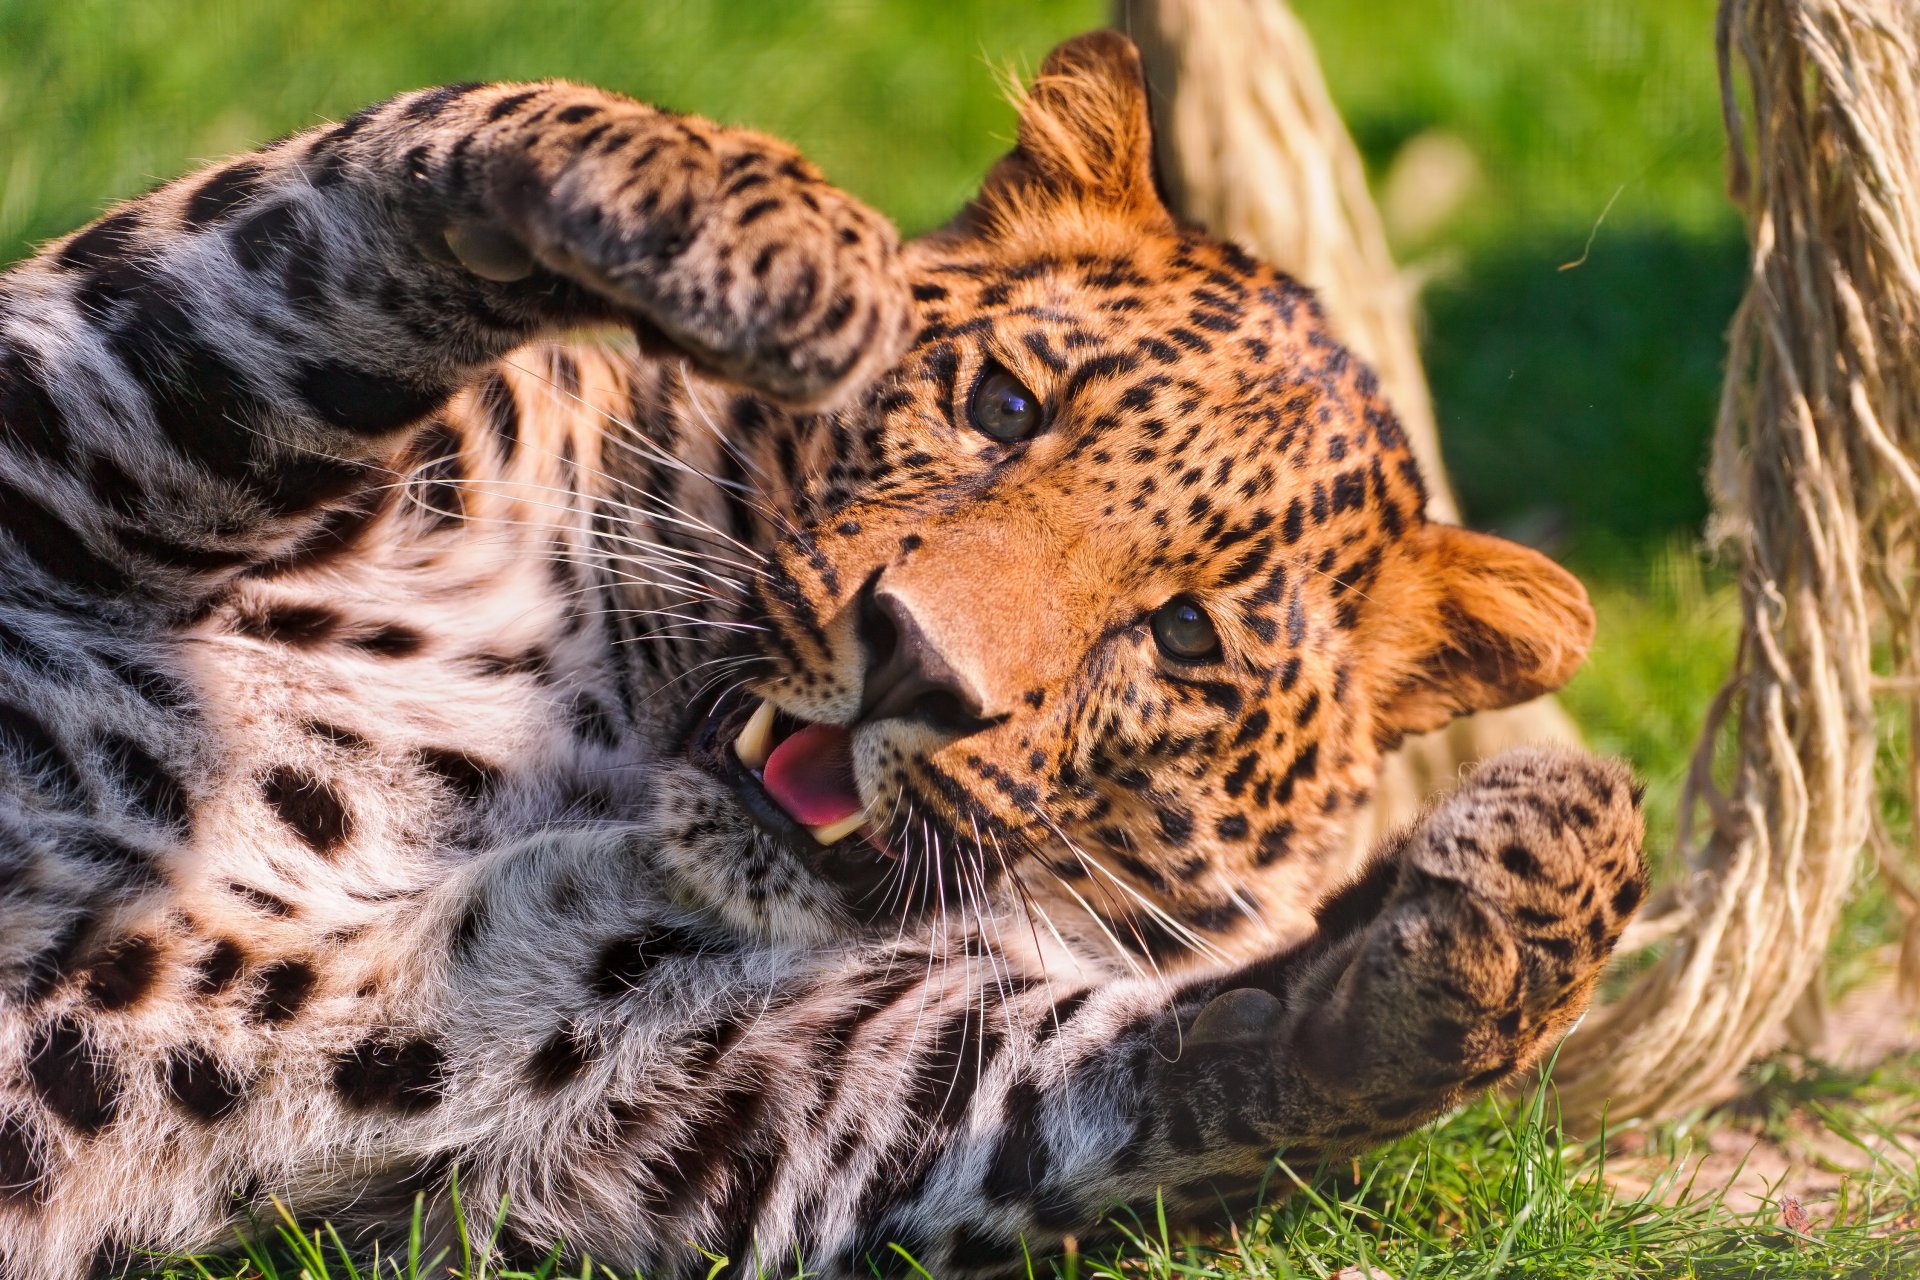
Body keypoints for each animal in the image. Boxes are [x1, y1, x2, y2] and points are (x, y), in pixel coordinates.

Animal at [0, 29, 1647, 1280]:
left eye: (1182, 633)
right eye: (1000, 407)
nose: (918, 664)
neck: (587, 742)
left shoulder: (696, 1088)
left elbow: (1177, 1074)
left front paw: (1550, 864)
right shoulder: (65, 427)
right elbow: (343, 219)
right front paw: (754, 230)